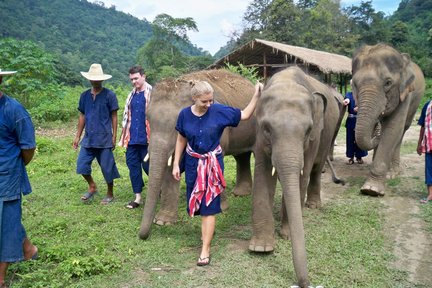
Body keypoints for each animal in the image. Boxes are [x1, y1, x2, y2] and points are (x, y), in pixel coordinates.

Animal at [250, 66, 340, 288]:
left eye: (307, 130)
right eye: (267, 129)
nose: (305, 283)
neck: (287, 81)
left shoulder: (315, 136)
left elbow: (302, 174)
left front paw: (286, 235)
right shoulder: (258, 135)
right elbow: (262, 173)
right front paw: (261, 248)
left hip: (327, 135)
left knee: (315, 169)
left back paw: (313, 205)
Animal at [352, 43, 426, 196]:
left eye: (388, 83)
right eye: (354, 84)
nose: (377, 136)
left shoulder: (405, 93)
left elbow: (393, 128)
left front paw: (371, 190)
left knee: (402, 131)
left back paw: (392, 173)